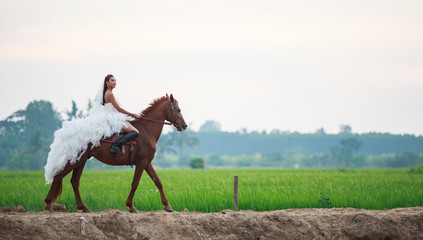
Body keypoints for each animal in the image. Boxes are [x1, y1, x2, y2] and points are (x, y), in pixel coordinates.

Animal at [44, 94, 187, 214]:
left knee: (74, 181)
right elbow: (135, 183)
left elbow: (158, 182)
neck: (146, 131)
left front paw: (167, 205)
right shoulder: (141, 163)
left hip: (81, 161)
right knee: (58, 176)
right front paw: (131, 206)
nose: (184, 125)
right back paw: (48, 204)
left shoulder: (147, 163)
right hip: (75, 160)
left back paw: (83, 207)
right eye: (178, 110)